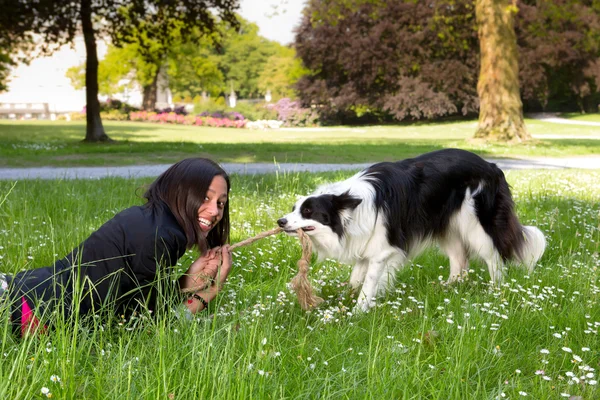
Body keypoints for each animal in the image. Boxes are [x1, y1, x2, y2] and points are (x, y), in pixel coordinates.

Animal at [278, 148, 548, 310]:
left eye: (308, 211)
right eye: (294, 208)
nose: (280, 221)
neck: (351, 207)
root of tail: (492, 166)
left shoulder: (382, 249)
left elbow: (369, 281)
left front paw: (358, 310)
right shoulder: (365, 242)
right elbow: (356, 276)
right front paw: (346, 299)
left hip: (475, 223)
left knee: (494, 256)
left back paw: (495, 291)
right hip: (447, 225)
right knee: (459, 258)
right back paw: (448, 287)